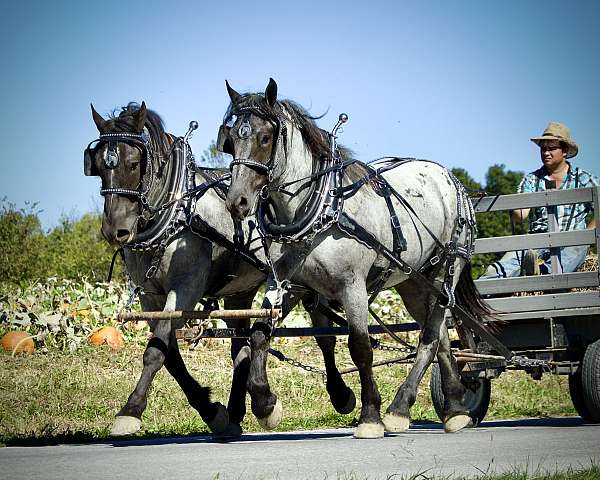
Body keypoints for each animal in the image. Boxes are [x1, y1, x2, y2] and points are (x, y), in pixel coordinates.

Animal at [84, 103, 356, 436]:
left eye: (134, 163)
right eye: (97, 166)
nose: (116, 231)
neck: (177, 213)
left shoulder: (185, 288)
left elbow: (156, 352)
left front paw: (131, 410)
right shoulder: (150, 297)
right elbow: (169, 354)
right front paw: (211, 410)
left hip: (295, 285)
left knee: (323, 336)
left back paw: (336, 395)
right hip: (240, 293)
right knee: (241, 348)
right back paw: (239, 410)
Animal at [218, 78, 490, 438]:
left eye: (265, 138)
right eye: (231, 140)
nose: (237, 202)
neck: (321, 208)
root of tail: (450, 177)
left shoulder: (352, 286)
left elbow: (361, 348)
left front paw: (370, 416)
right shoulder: (287, 284)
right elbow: (260, 333)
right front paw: (265, 404)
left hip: (447, 269)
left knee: (430, 339)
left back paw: (405, 408)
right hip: (414, 282)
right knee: (443, 341)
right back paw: (452, 408)